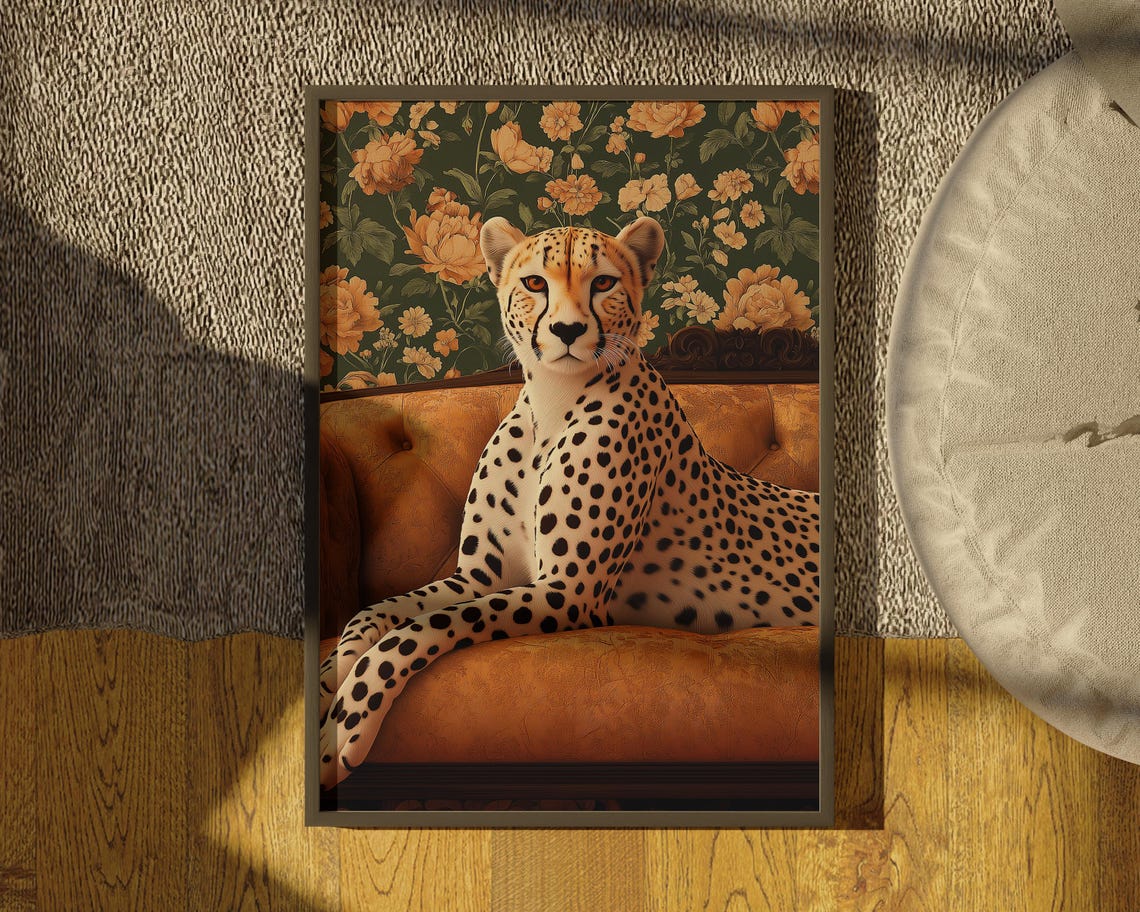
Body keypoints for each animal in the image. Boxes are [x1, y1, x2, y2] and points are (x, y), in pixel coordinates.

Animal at [318, 214, 821, 788]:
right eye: (536, 283)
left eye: (602, 283)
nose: (567, 331)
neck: (551, 402)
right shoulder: (478, 577)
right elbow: (378, 611)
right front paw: (331, 672)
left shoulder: (567, 591)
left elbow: (416, 631)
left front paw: (340, 732)